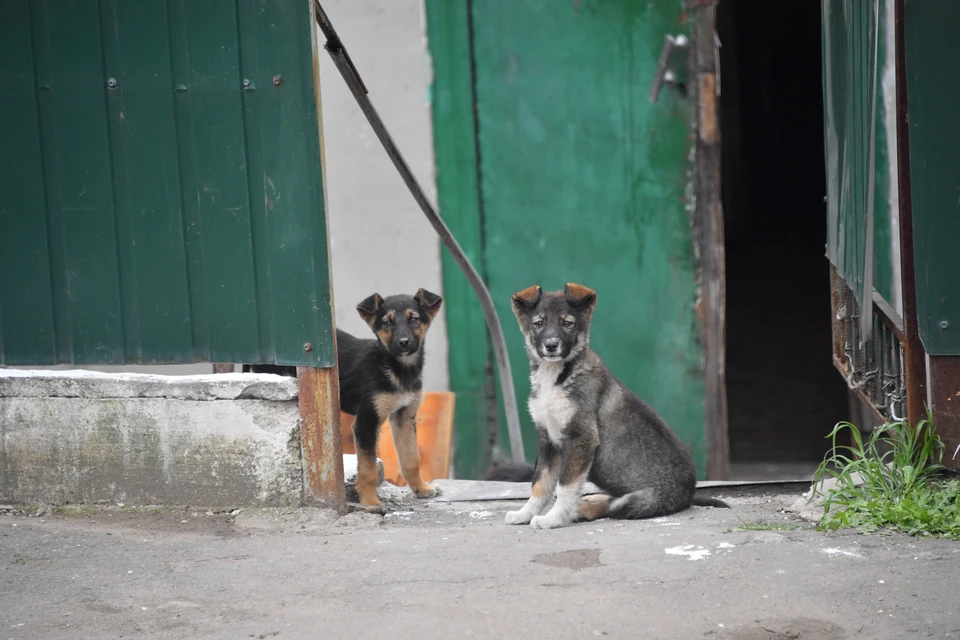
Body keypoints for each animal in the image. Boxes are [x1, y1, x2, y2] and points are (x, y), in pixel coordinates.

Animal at [506, 284, 724, 528]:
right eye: (539, 323)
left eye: (567, 323)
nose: (551, 345)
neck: (556, 376)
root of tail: (689, 494)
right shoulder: (548, 439)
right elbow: (540, 484)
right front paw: (525, 513)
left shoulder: (580, 437)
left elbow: (565, 486)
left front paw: (555, 518)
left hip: (638, 501)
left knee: (612, 505)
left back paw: (582, 508)